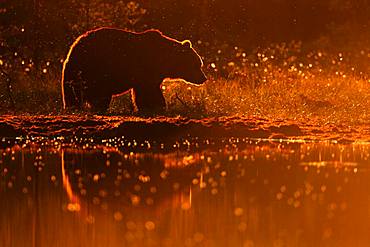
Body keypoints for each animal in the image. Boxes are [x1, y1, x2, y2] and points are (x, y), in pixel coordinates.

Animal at [60, 27, 205, 113]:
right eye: (197, 64)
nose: (204, 78)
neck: (163, 60)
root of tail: (72, 51)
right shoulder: (146, 69)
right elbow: (148, 91)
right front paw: (157, 106)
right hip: (95, 69)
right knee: (97, 94)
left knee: (74, 95)